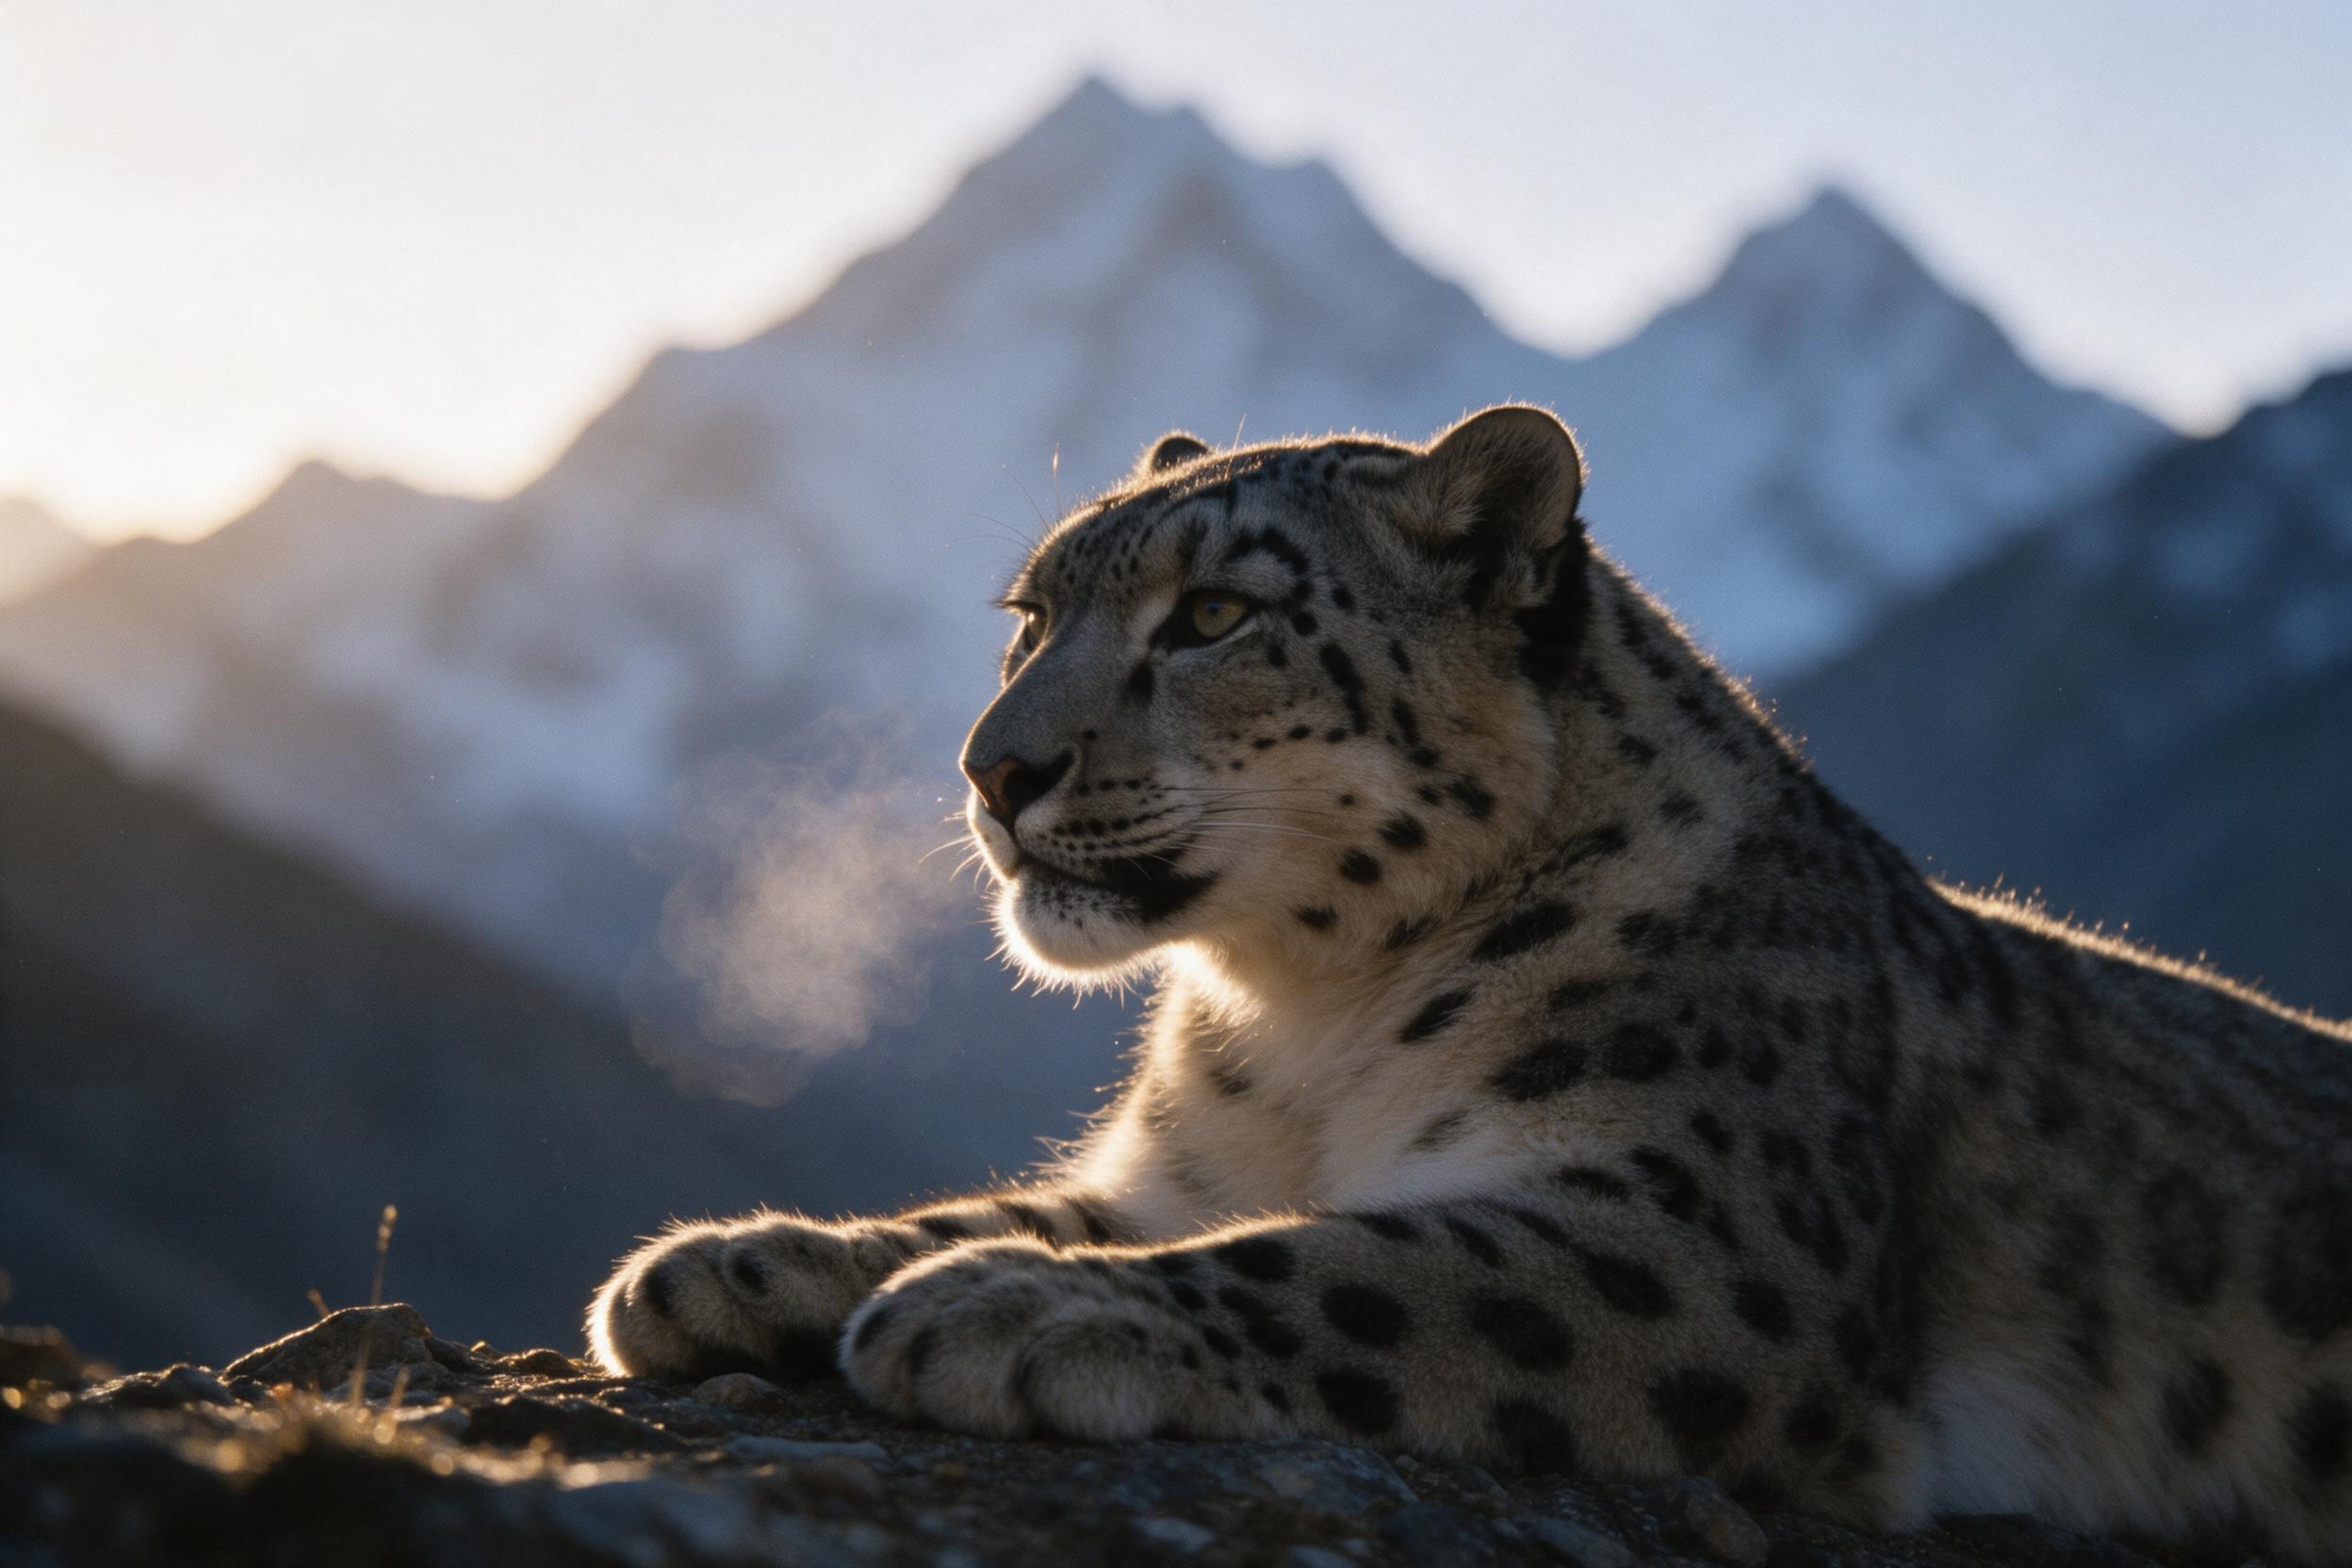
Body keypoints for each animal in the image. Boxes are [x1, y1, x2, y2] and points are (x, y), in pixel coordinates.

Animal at [589, 406, 2352, 1559]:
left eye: (1213, 611)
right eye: (1028, 615)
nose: (992, 769)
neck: (1304, 1019)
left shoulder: (1701, 1238)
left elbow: (1351, 1263)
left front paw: (1008, 1307)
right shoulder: (1172, 1174)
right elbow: (1031, 1203)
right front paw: (735, 1263)